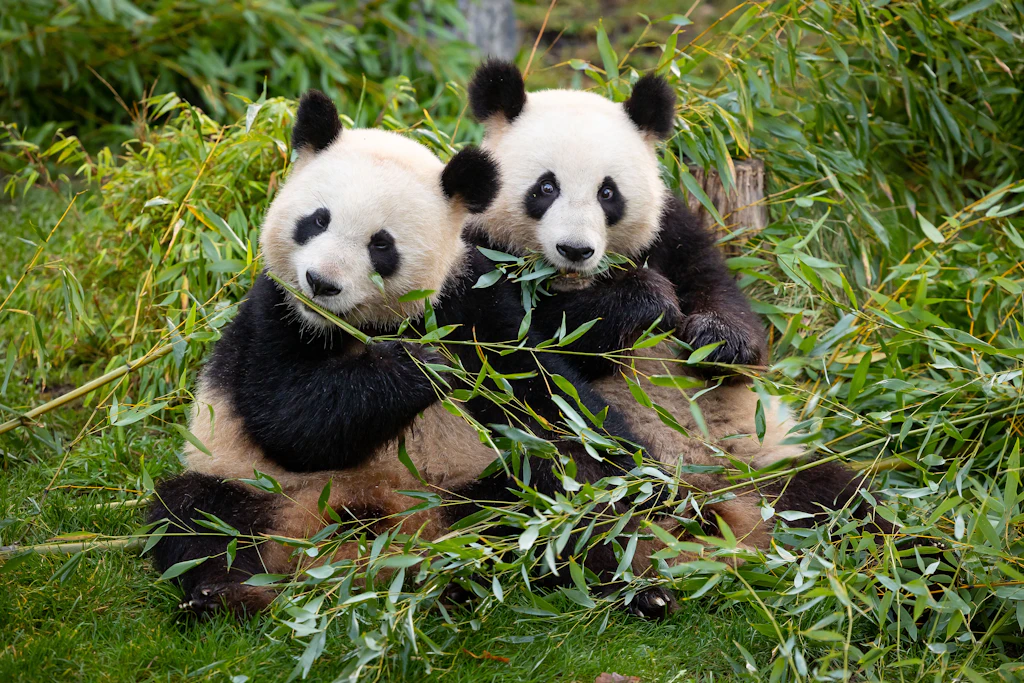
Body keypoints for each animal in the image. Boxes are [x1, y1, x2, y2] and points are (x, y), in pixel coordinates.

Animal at [149, 90, 678, 619]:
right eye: (317, 220)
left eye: (381, 244)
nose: (321, 283)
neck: (354, 326)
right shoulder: (274, 312)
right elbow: (287, 418)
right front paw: (420, 367)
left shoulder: (472, 304)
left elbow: (549, 403)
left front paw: (645, 486)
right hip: (254, 486)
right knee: (198, 516)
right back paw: (223, 593)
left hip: (472, 492)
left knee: (540, 505)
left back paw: (621, 590)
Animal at [463, 60, 883, 551]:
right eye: (545, 187)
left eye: (608, 193)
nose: (575, 249)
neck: (572, 280)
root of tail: (721, 503)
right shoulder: (480, 253)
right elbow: (526, 350)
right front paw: (644, 300)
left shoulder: (673, 232)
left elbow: (728, 309)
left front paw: (718, 340)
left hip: (767, 464)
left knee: (847, 499)